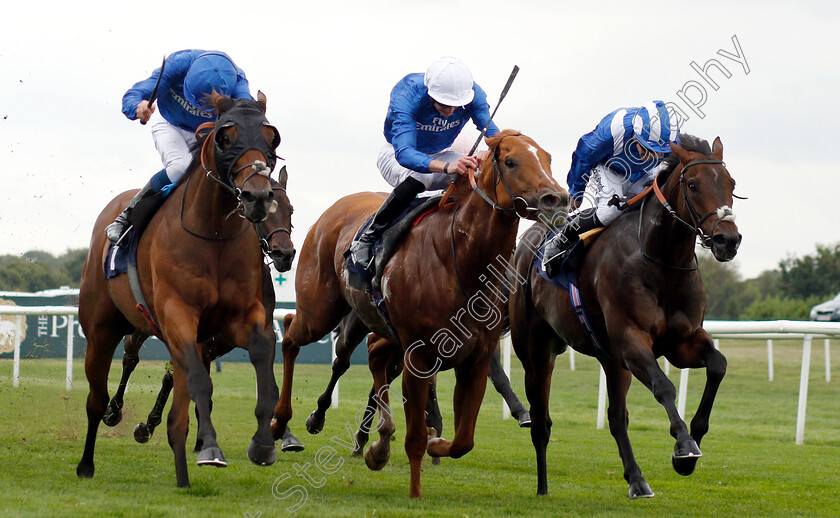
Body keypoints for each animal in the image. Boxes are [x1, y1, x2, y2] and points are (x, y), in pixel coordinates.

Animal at [76, 92, 278, 488]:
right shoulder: (178, 315)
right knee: (96, 398)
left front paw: (262, 443)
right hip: (100, 330)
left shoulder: (238, 319)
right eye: (225, 137)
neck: (213, 234)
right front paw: (211, 448)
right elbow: (200, 383)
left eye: (271, 137)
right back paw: (87, 461)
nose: (258, 197)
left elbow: (262, 355)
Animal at [272, 130, 568, 500]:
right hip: (320, 311)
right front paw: (414, 491)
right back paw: (283, 422)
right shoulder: (420, 355)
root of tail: (334, 210)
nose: (557, 199)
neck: (461, 260)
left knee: (370, 354)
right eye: (511, 161)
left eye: (547, 158)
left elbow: (463, 440)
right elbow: (415, 437)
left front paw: (431, 444)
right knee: (290, 333)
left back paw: (371, 439)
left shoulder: (475, 356)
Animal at [508, 134, 740, 500]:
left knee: (616, 417)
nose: (727, 240)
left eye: (731, 184)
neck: (661, 261)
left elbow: (718, 365)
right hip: (536, 352)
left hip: (611, 360)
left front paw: (692, 445)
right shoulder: (631, 340)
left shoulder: (682, 342)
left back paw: (637, 480)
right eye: (692, 184)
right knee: (541, 420)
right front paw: (684, 445)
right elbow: (664, 387)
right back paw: (543, 487)